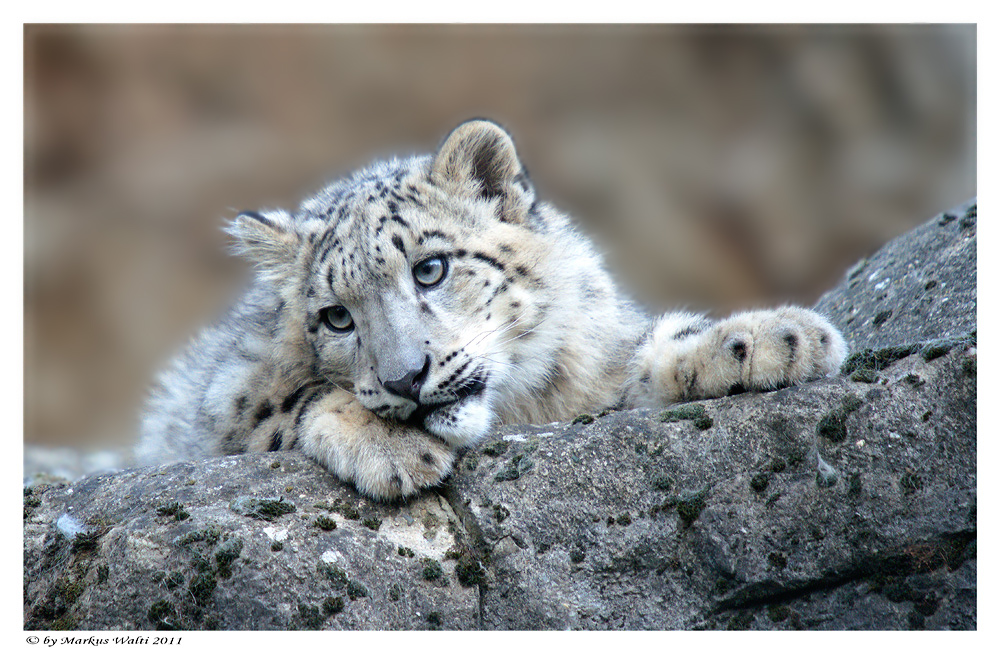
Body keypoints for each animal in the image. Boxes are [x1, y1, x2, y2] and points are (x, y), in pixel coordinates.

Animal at [137, 119, 848, 502]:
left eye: (430, 269)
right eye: (337, 316)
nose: (405, 380)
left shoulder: (593, 373)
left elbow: (647, 355)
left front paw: (775, 338)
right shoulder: (223, 407)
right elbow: (291, 400)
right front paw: (393, 448)